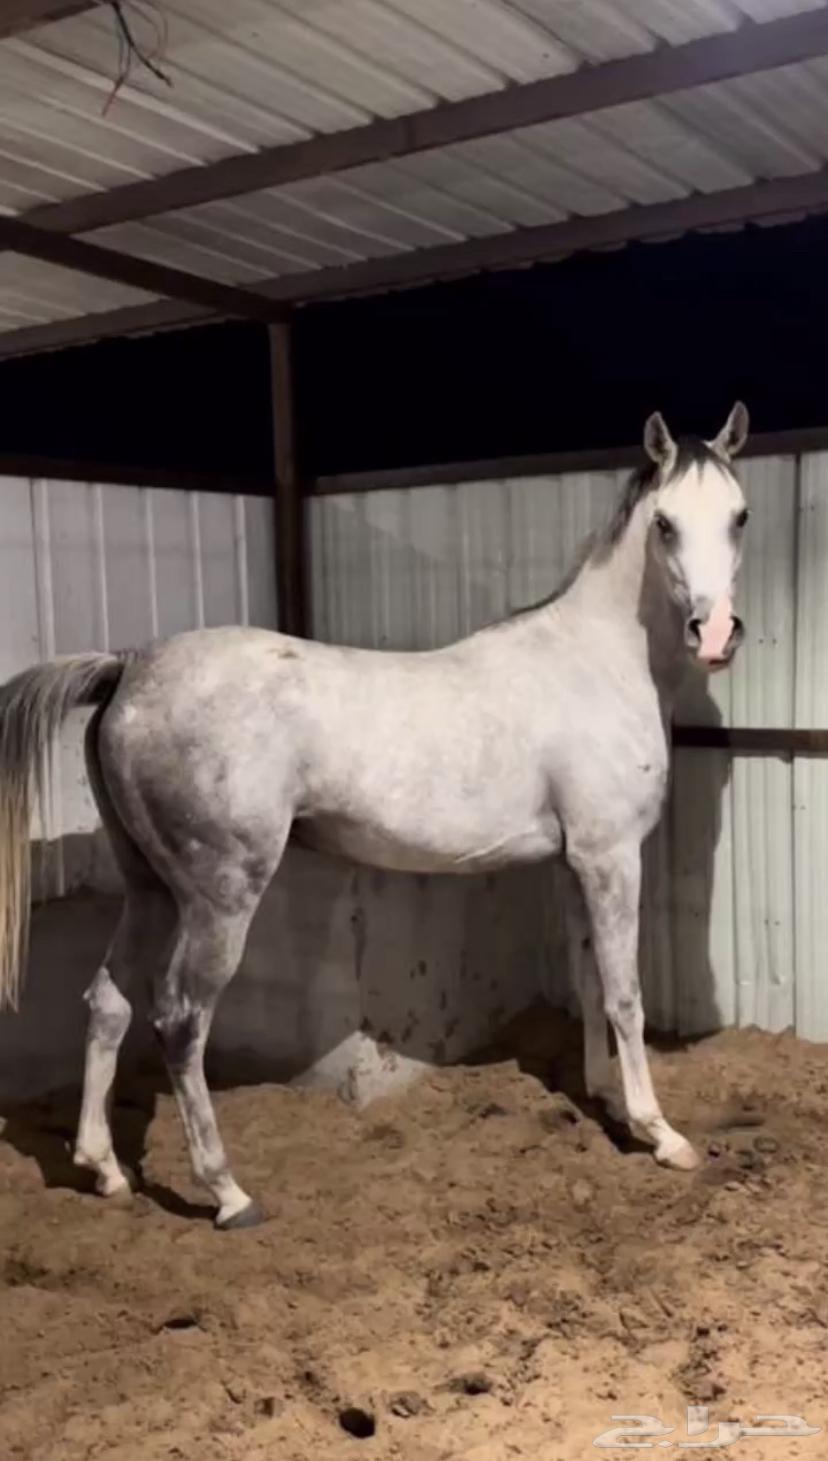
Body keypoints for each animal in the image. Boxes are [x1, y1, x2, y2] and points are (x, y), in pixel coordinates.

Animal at [0, 403, 750, 1229]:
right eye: (665, 524)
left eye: (739, 515)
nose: (716, 635)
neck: (597, 663)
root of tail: (129, 666)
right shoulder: (612, 856)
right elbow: (625, 994)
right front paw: (659, 1132)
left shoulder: (575, 861)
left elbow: (590, 980)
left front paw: (606, 1098)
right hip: (218, 899)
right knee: (180, 1019)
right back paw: (228, 1193)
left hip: (150, 890)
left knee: (108, 1003)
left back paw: (104, 1168)